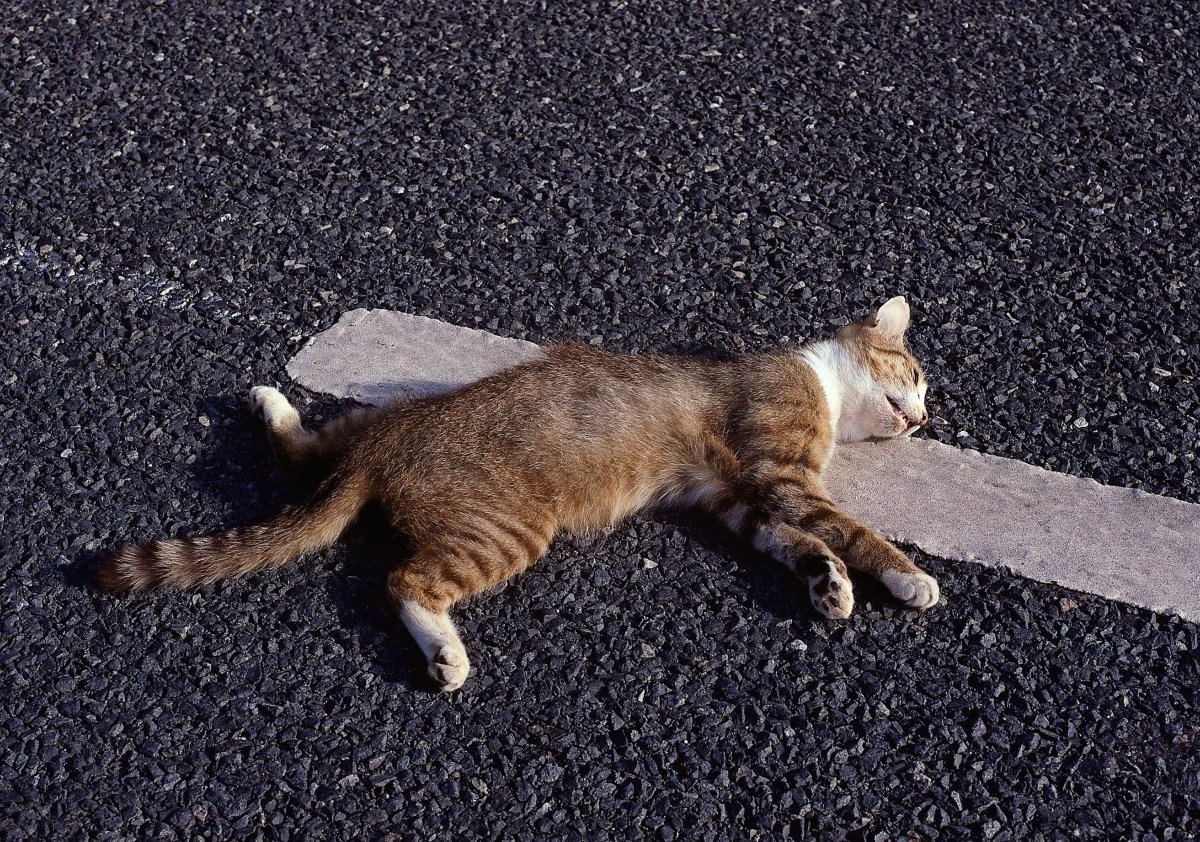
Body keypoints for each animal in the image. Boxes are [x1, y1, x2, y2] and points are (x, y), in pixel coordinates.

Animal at [96, 297, 936, 690]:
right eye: (918, 373)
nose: (922, 419)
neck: (821, 382)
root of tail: (379, 453)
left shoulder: (728, 497)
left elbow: (792, 541)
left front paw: (827, 583)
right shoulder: (777, 472)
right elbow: (847, 528)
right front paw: (907, 577)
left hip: (364, 422)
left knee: (303, 455)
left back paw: (271, 402)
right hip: (509, 529)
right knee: (404, 580)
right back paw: (446, 655)